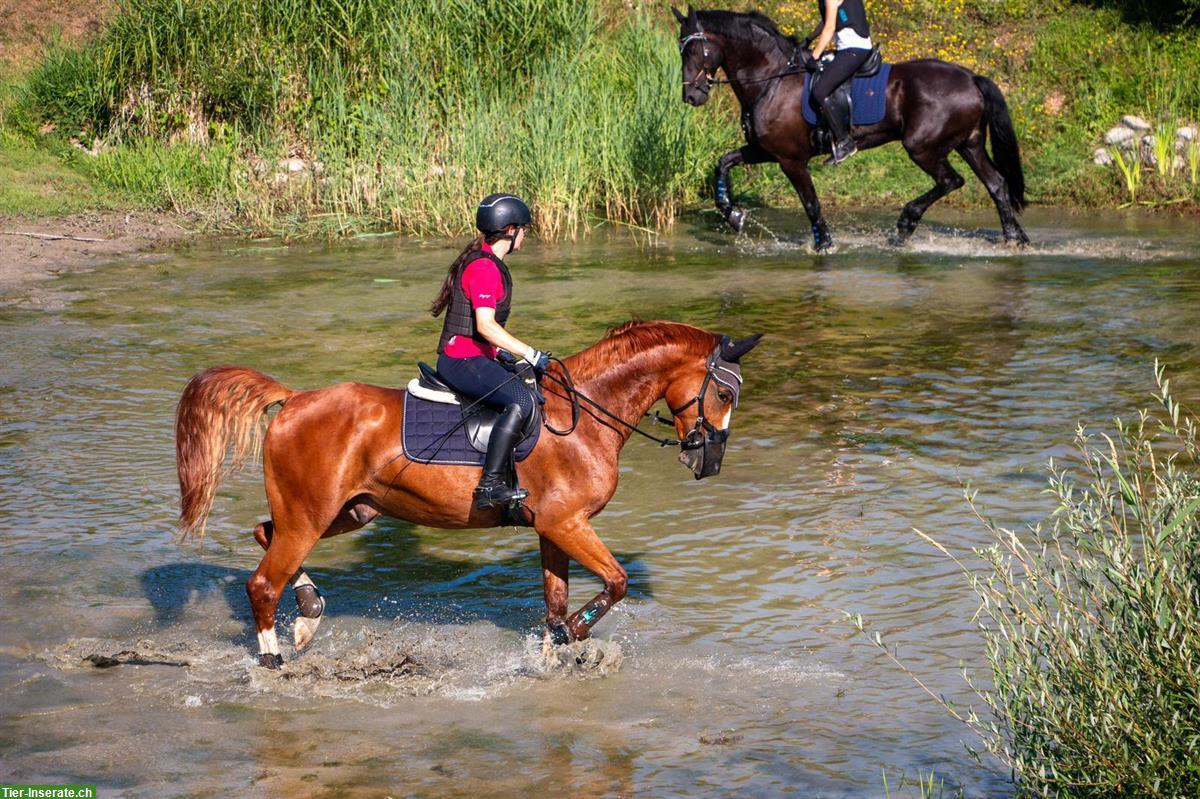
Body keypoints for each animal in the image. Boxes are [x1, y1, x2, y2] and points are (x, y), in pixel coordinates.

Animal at [176, 321, 758, 662]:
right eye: (724, 393)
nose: (708, 461)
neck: (586, 413)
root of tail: (295, 399)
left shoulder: (553, 528)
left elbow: (555, 598)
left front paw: (555, 647)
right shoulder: (567, 523)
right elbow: (616, 582)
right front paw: (572, 634)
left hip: (350, 510)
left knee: (264, 534)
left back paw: (308, 614)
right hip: (310, 516)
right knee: (262, 583)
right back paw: (274, 657)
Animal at [676, 5, 1032, 249]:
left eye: (693, 49)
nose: (691, 96)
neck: (772, 81)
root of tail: (971, 77)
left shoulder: (791, 160)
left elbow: (811, 203)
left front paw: (824, 245)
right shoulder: (766, 150)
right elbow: (723, 162)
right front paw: (732, 214)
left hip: (923, 148)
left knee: (951, 180)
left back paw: (905, 224)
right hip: (969, 143)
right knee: (996, 184)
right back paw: (1015, 239)